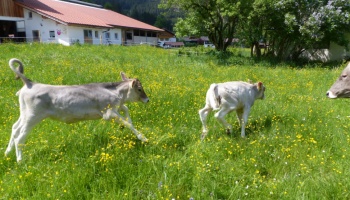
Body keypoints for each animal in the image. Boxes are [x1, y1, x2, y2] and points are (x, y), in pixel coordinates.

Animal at [4, 58, 149, 162]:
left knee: (15, 128)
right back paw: (20, 160)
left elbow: (126, 110)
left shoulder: (116, 108)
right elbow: (127, 122)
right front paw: (143, 138)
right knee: (20, 137)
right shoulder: (108, 113)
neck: (115, 93)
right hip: (33, 116)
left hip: (24, 113)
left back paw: (7, 152)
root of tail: (30, 83)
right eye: (139, 89)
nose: (147, 99)